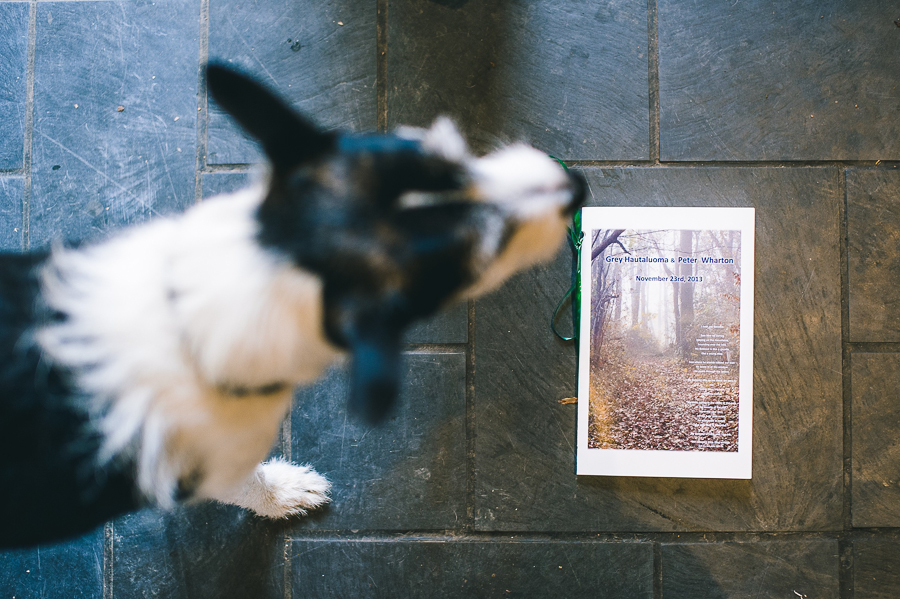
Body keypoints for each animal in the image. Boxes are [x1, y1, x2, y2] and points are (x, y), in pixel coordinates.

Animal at [0, 64, 584, 548]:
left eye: (449, 156)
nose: (577, 184)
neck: (189, 314)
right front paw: (283, 494)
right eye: (484, 256)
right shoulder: (213, 466)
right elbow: (249, 485)